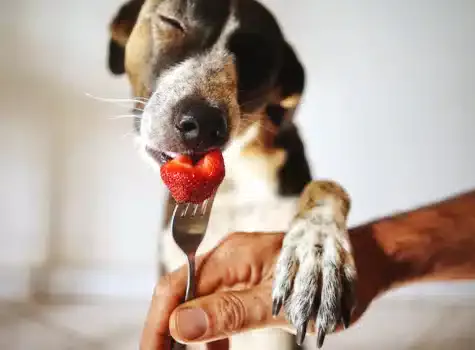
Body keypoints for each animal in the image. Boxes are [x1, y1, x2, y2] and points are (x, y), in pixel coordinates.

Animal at [106, 1, 356, 348]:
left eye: (258, 61)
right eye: (172, 21)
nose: (203, 123)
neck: (233, 182)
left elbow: (328, 188)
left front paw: (317, 255)